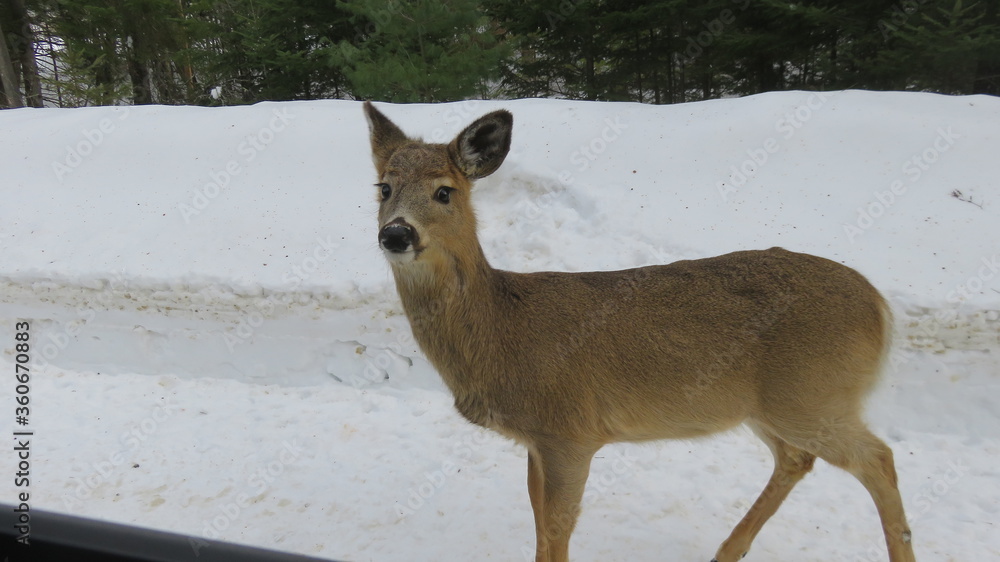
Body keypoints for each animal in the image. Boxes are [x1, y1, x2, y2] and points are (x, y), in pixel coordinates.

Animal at [361, 101, 915, 562]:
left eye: (444, 192)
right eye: (383, 188)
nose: (396, 233)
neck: (502, 328)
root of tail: (880, 307)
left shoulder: (570, 431)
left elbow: (557, 530)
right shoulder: (538, 442)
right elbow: (540, 524)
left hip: (814, 395)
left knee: (879, 460)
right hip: (770, 406)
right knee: (797, 459)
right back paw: (726, 553)